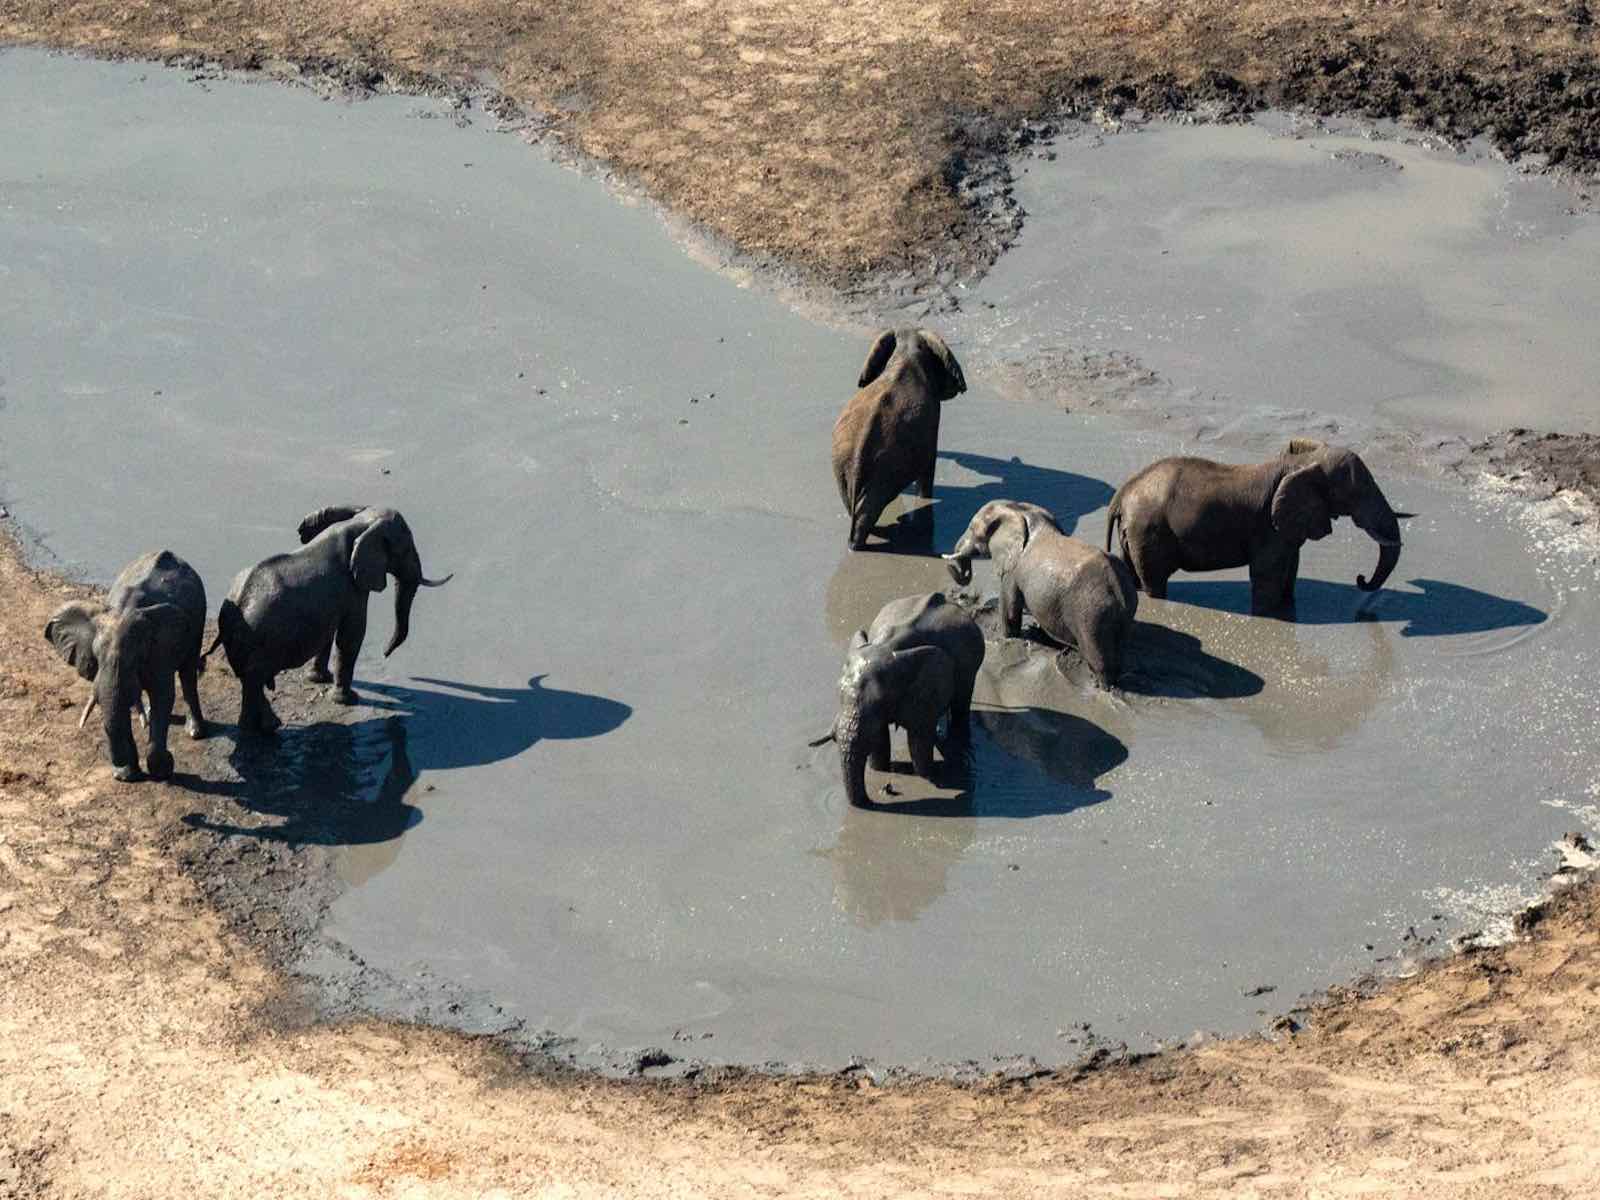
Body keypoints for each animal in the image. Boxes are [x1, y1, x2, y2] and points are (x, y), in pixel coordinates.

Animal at [43, 550, 209, 782]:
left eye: (134, 659)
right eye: (96, 657)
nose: (119, 772)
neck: (125, 608)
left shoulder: (161, 649)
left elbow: (163, 694)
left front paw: (163, 770)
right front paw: (126, 775)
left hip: (198, 620)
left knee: (188, 673)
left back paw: (195, 732)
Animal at [207, 505, 452, 733]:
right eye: (406, 549)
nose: (385, 653)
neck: (359, 522)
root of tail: (237, 604)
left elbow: (328, 634)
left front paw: (318, 679)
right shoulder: (352, 587)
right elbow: (351, 636)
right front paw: (347, 700)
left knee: (249, 681)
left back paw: (255, 728)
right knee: (254, 680)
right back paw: (268, 727)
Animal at [820, 592, 985, 808]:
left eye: (880, 700)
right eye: (838, 693)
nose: (882, 793)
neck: (887, 645)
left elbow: (918, 741)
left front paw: (931, 775)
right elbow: (879, 736)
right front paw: (881, 770)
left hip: (971, 663)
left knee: (961, 703)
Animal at [944, 499, 1138, 687]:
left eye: (971, 528)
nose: (961, 574)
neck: (1018, 510)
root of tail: (1116, 584)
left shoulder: (1013, 569)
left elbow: (1010, 611)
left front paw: (1007, 638)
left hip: (1091, 613)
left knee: (1098, 659)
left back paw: (1096, 685)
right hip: (1124, 609)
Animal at [1105, 439, 1412, 616]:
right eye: (1355, 491)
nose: (1360, 580)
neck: (1300, 462)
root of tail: (1122, 493)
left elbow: (1291, 566)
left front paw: (1286, 607)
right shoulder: (1268, 526)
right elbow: (1268, 572)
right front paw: (1269, 615)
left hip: (1135, 533)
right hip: (1149, 532)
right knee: (1155, 581)